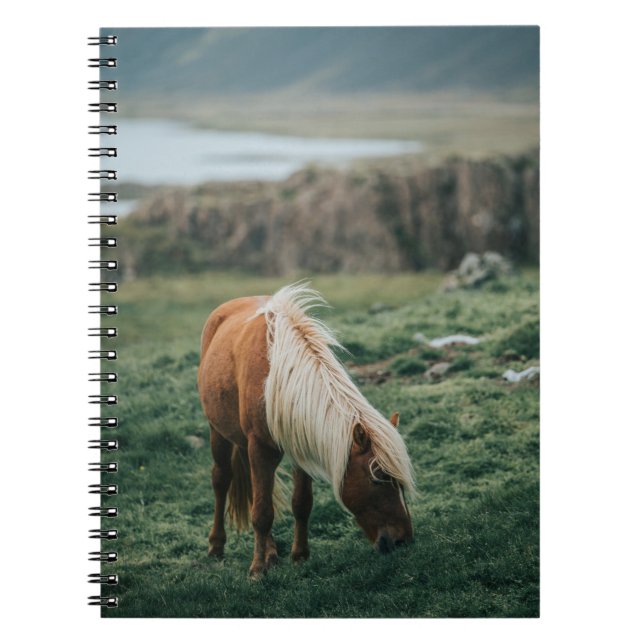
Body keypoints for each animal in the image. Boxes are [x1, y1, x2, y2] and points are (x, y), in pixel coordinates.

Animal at [198, 283, 415, 577]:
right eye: (378, 478)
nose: (404, 541)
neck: (278, 377)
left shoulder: (300, 445)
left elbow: (300, 503)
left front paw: (299, 555)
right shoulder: (260, 448)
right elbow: (262, 512)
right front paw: (257, 570)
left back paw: (271, 551)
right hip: (218, 433)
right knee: (221, 480)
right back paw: (217, 546)